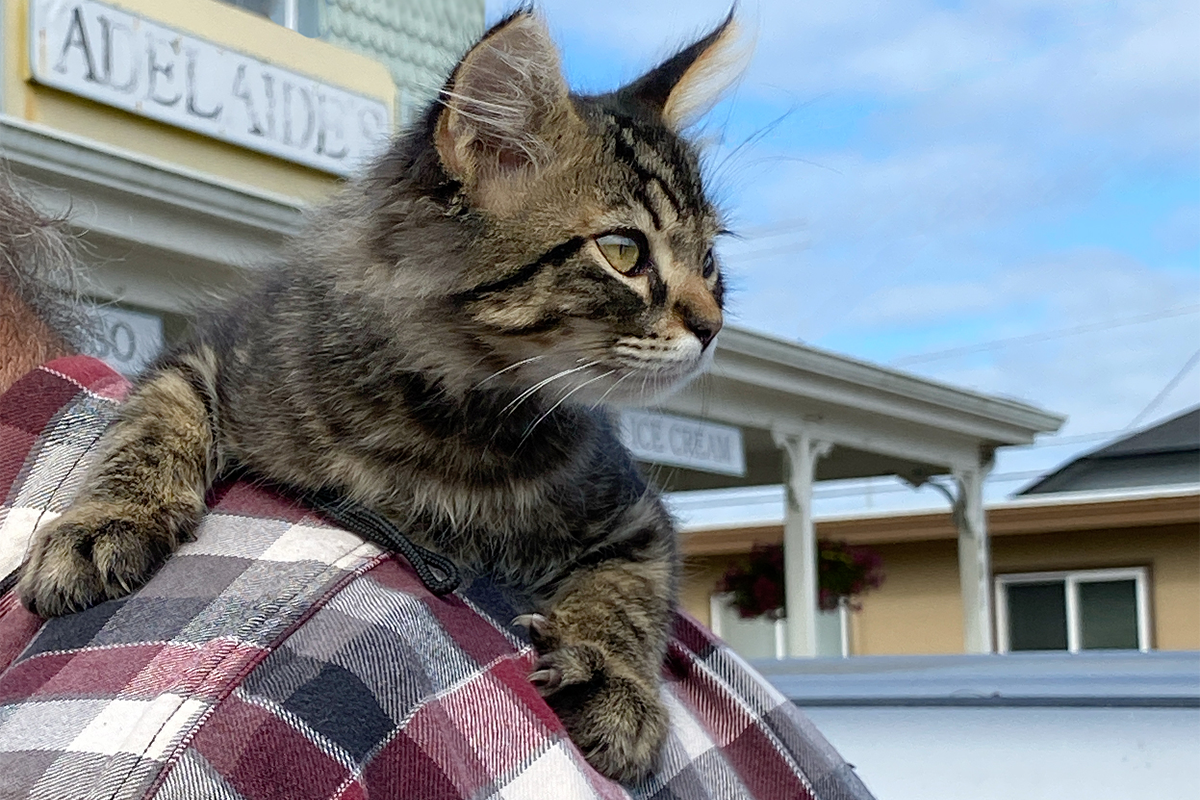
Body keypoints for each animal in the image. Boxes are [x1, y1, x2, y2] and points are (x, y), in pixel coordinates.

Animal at [18, 9, 734, 777]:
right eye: (625, 251)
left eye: (709, 262)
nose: (712, 327)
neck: (458, 423)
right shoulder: (218, 353)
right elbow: (152, 422)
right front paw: (106, 520)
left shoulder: (634, 512)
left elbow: (628, 596)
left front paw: (611, 680)